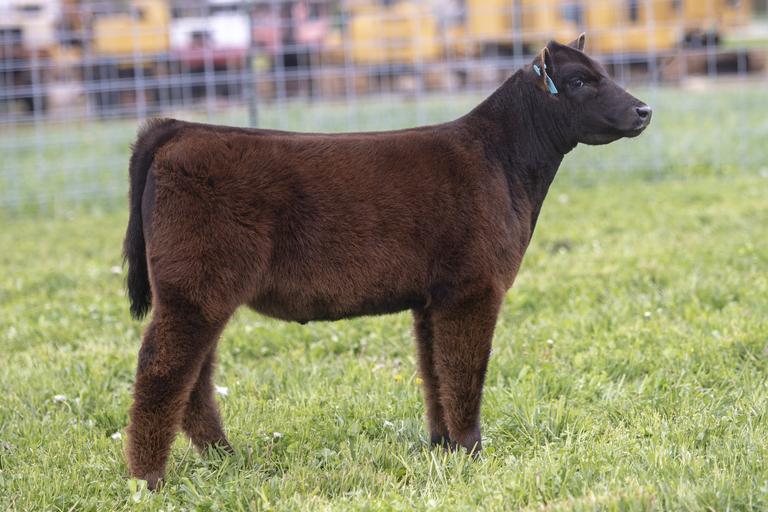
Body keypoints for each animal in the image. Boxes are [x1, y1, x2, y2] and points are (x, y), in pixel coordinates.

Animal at [123, 34, 652, 490]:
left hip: (205, 292)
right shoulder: (474, 288)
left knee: (196, 377)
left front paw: (443, 447)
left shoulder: (432, 298)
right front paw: (472, 450)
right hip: (195, 289)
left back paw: (225, 458)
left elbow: (435, 371)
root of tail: (181, 128)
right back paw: (149, 478)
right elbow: (465, 371)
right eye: (580, 81)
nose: (644, 109)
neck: (503, 163)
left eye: (605, 71)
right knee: (161, 370)